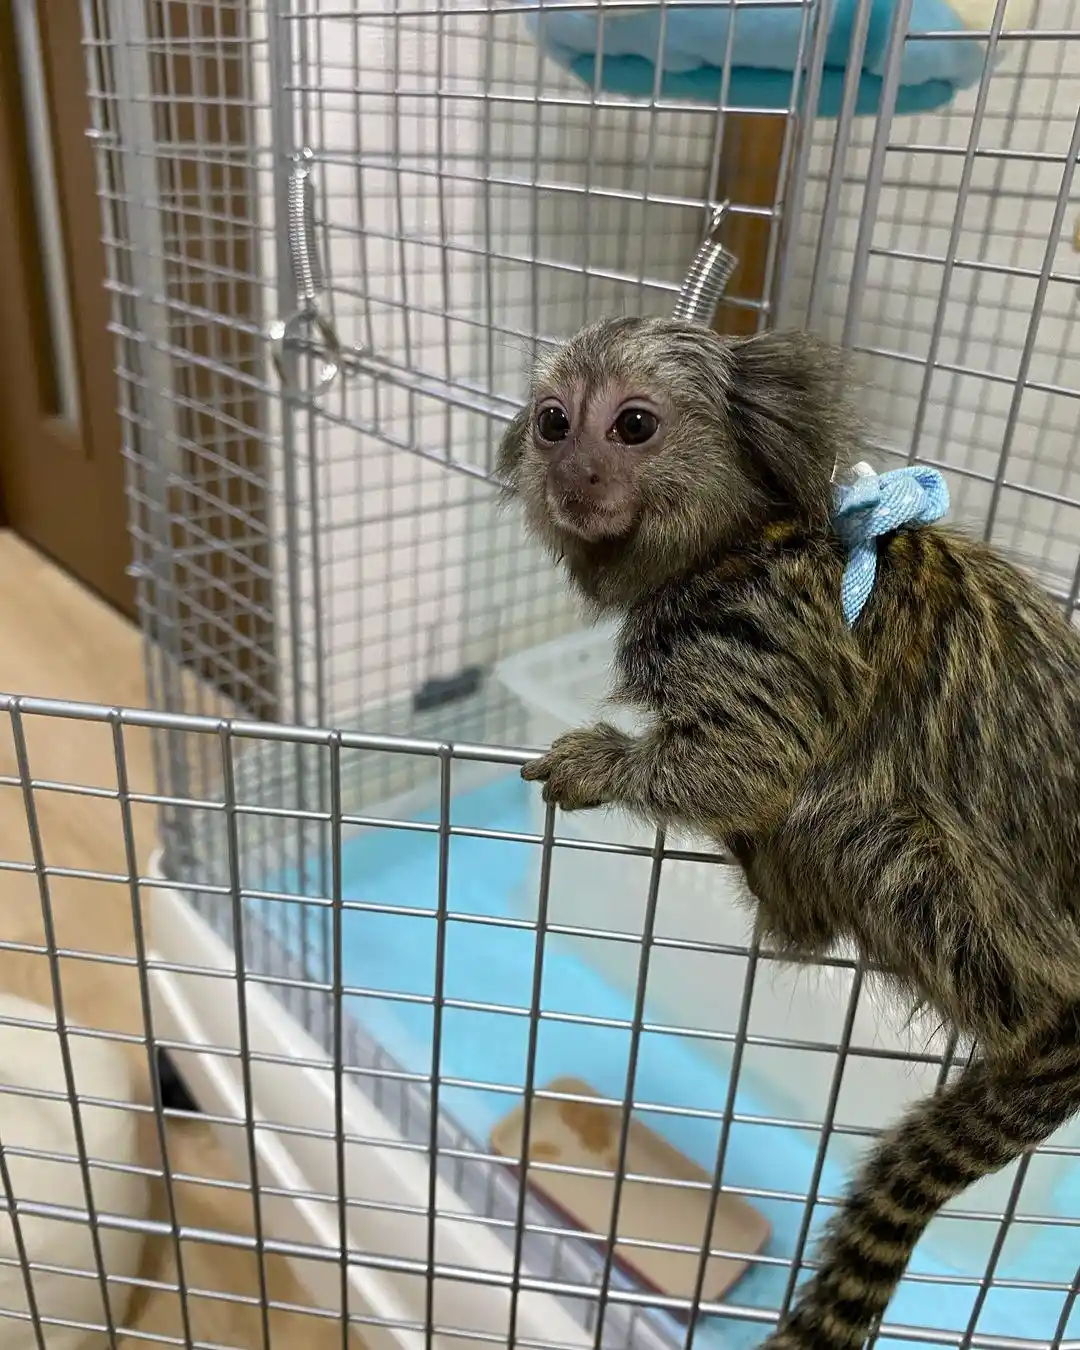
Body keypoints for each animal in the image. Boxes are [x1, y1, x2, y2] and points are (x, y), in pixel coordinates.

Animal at [496, 314, 1080, 1350]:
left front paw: (602, 765)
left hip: (987, 931)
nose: (574, 473)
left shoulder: (752, 623)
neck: (727, 540)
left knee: (842, 817)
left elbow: (757, 761)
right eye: (553, 422)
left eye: (632, 425)